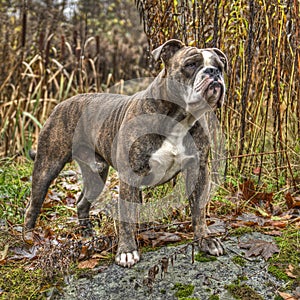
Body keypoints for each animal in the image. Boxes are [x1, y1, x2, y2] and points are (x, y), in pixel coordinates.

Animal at [24, 39, 227, 268]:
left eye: (220, 66)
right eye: (191, 64)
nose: (213, 73)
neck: (178, 118)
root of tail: (63, 103)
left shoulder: (198, 170)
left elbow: (199, 210)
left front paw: (205, 240)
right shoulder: (130, 176)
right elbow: (127, 216)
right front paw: (127, 251)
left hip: (96, 173)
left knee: (82, 202)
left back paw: (87, 235)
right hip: (48, 165)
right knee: (34, 204)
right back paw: (29, 238)